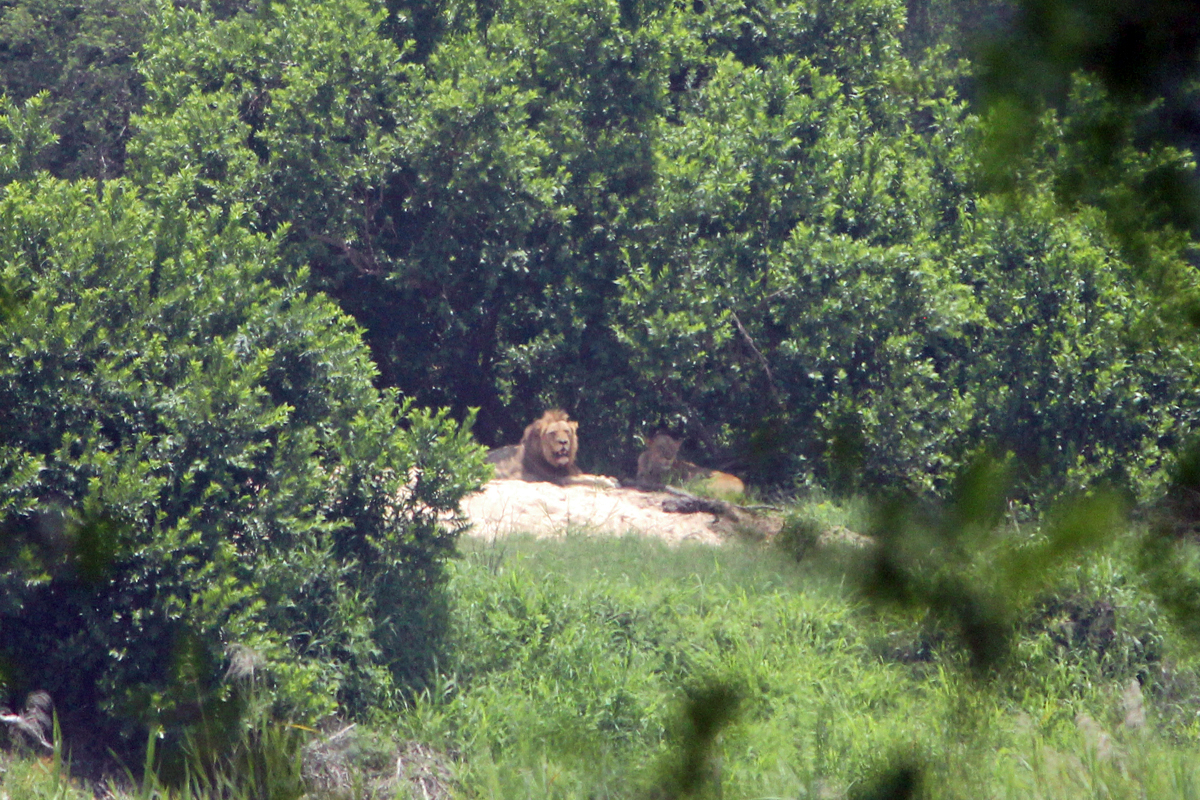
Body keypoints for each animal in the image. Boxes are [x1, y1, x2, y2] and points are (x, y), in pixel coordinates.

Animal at [487, 412, 619, 489]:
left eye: (566, 431)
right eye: (552, 433)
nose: (563, 442)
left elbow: (589, 475)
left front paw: (610, 479)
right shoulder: (557, 479)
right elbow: (586, 479)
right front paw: (608, 482)